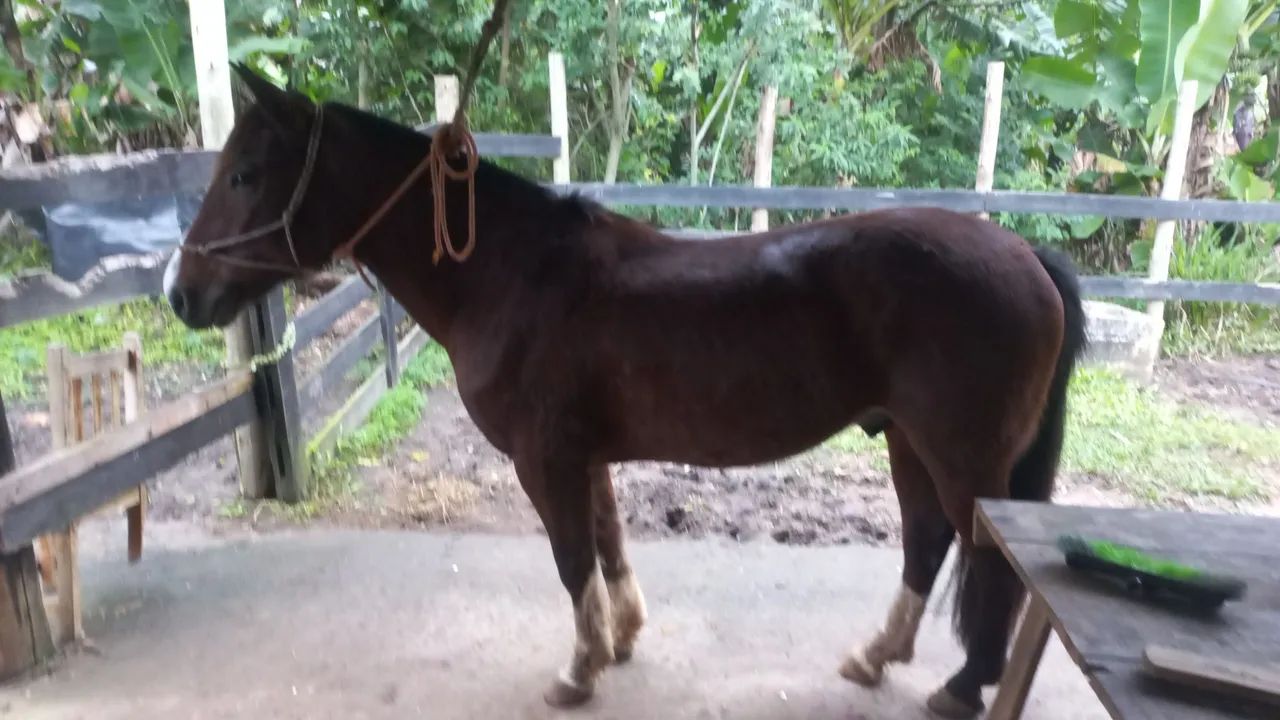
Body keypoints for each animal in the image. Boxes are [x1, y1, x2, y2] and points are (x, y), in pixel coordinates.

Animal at [165, 65, 1086, 719]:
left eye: (245, 174)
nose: (181, 294)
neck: (511, 274)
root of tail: (1025, 255)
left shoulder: (545, 460)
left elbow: (573, 557)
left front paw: (578, 671)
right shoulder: (586, 456)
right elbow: (607, 543)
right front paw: (622, 638)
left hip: (957, 453)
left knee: (985, 557)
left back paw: (961, 686)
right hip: (904, 437)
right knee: (928, 541)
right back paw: (874, 656)